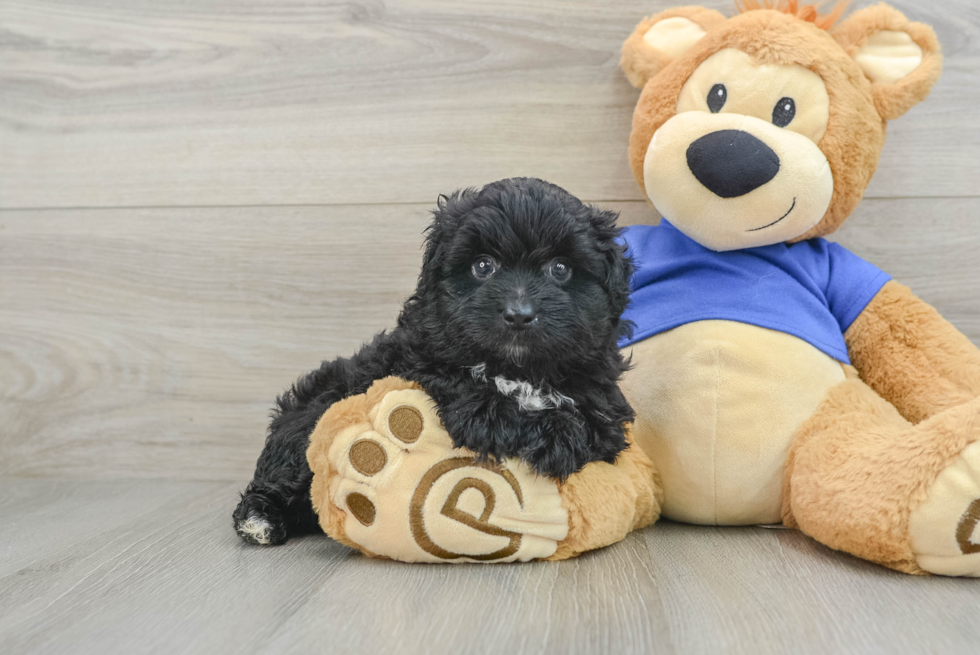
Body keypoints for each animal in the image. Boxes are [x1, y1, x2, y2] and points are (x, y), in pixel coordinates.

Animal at [235, 177, 636, 544]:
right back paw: (260, 519)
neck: (519, 369)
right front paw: (546, 431)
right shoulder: (426, 367)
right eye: (483, 266)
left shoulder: (604, 402)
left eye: (561, 268)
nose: (519, 314)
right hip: (310, 419)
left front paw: (561, 434)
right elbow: (480, 400)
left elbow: (592, 426)